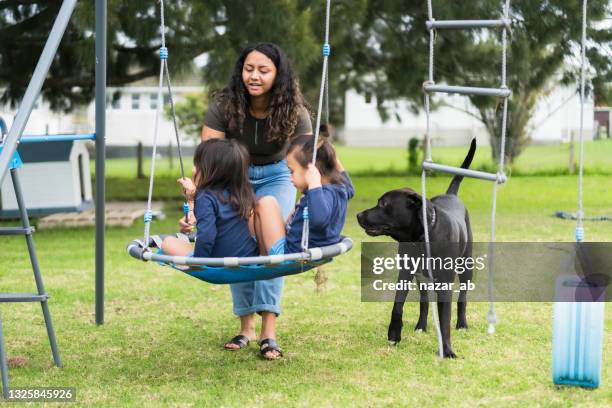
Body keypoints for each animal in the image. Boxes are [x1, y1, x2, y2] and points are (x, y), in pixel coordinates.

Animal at [356, 139, 476, 356]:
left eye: (384, 204)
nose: (358, 215)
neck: (422, 238)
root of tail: (450, 195)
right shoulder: (405, 272)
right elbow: (398, 305)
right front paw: (394, 334)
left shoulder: (445, 284)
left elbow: (445, 319)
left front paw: (447, 350)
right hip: (421, 278)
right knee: (424, 301)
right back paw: (421, 325)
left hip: (466, 266)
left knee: (462, 296)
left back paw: (462, 323)